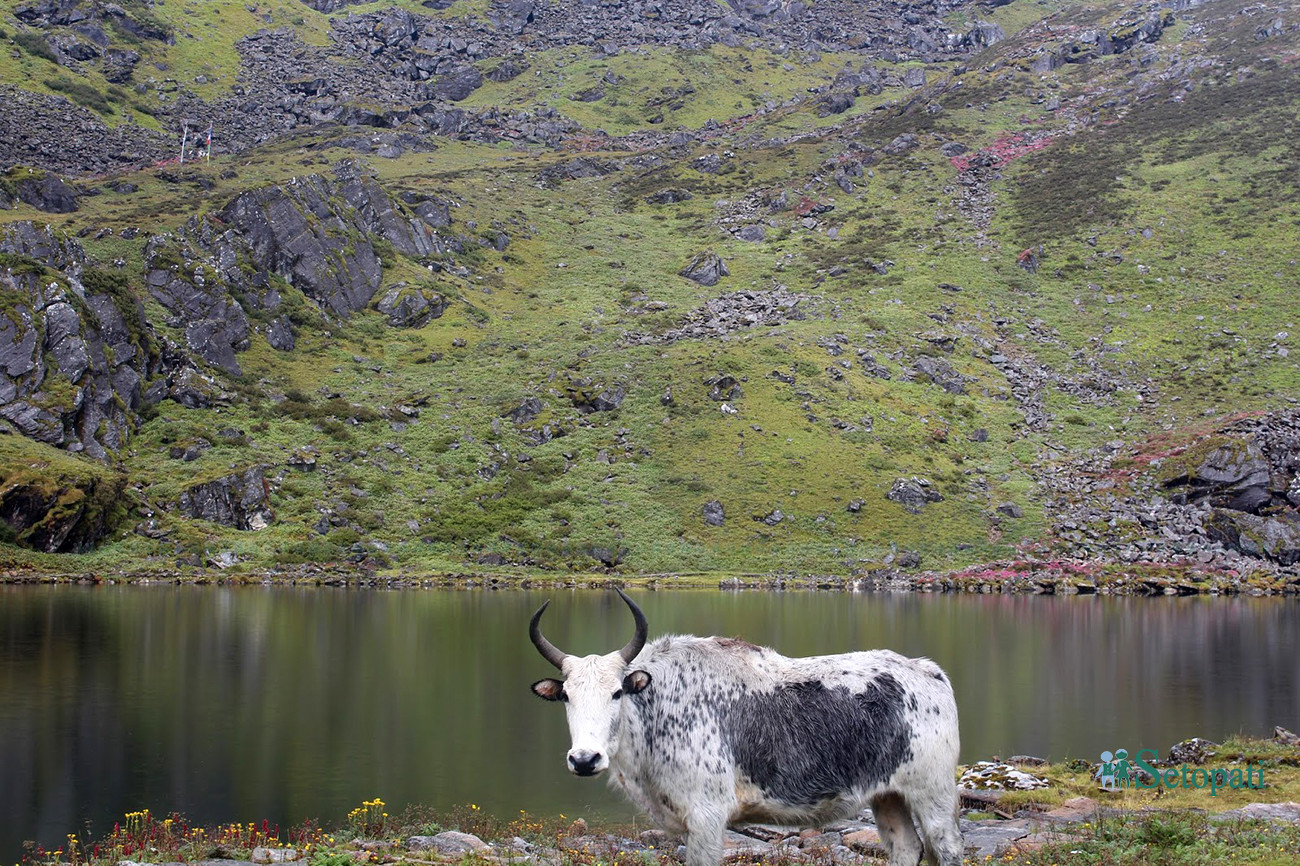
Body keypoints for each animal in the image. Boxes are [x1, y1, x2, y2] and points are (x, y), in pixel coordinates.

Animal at [530, 587, 967, 863]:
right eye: (566, 695)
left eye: (617, 692)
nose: (584, 759)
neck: (661, 706)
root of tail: (929, 672)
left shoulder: (707, 818)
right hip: (888, 796)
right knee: (906, 849)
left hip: (932, 793)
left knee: (946, 848)